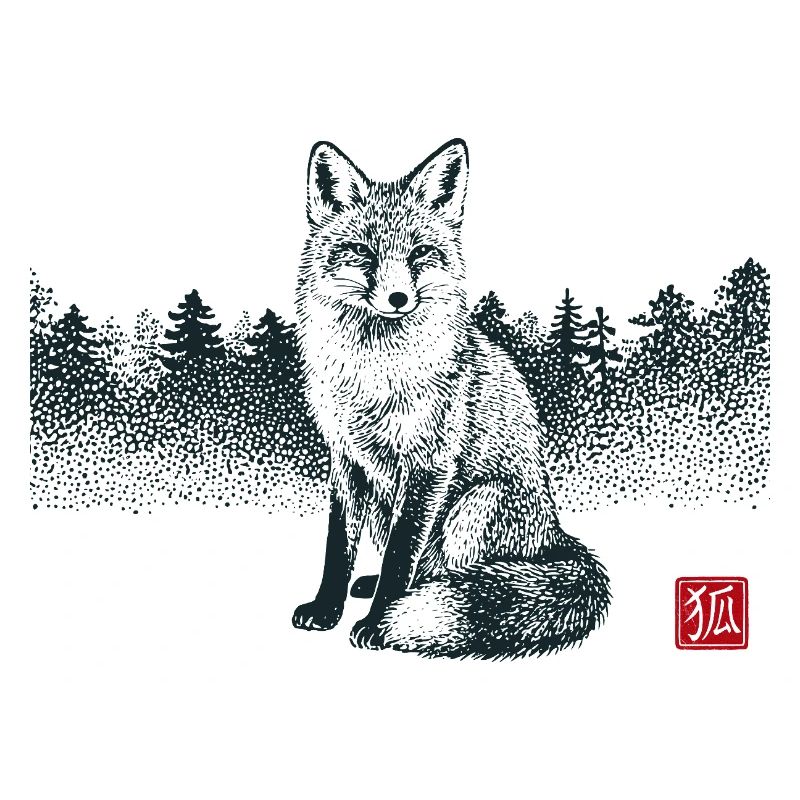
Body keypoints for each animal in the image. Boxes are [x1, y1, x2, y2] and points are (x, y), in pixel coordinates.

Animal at [292, 138, 610, 658]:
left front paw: (379, 624)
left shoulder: (428, 468)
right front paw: (326, 609)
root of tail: (556, 536)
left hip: (471, 506)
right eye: (362, 252)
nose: (398, 298)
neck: (375, 378)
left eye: (421, 253)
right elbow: (338, 551)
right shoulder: (346, 461)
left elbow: (400, 560)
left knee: (448, 573)